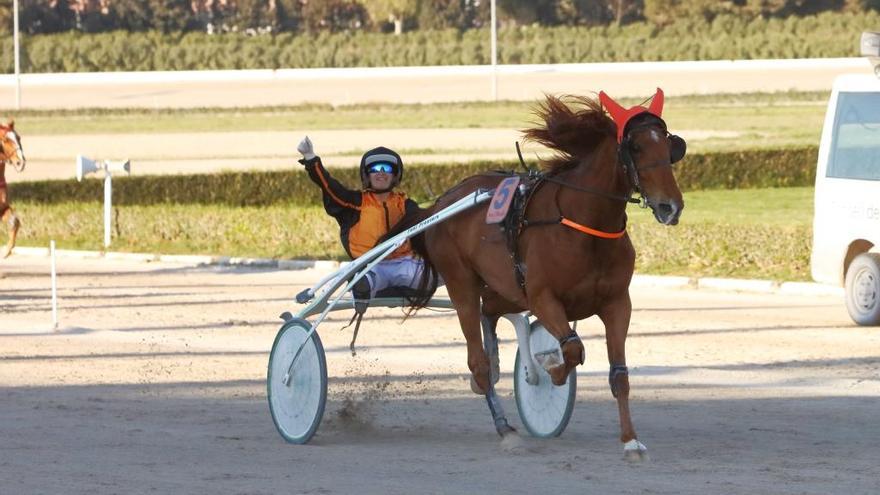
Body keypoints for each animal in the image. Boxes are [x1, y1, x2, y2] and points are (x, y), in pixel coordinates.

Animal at [392, 90, 688, 462]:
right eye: (634, 147)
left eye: (671, 146)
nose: (670, 207)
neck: (584, 225)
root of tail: (442, 202)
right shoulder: (544, 298)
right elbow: (573, 350)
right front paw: (551, 369)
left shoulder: (618, 303)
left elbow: (619, 375)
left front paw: (631, 441)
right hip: (462, 284)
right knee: (477, 358)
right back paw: (504, 426)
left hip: (504, 288)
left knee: (490, 315)